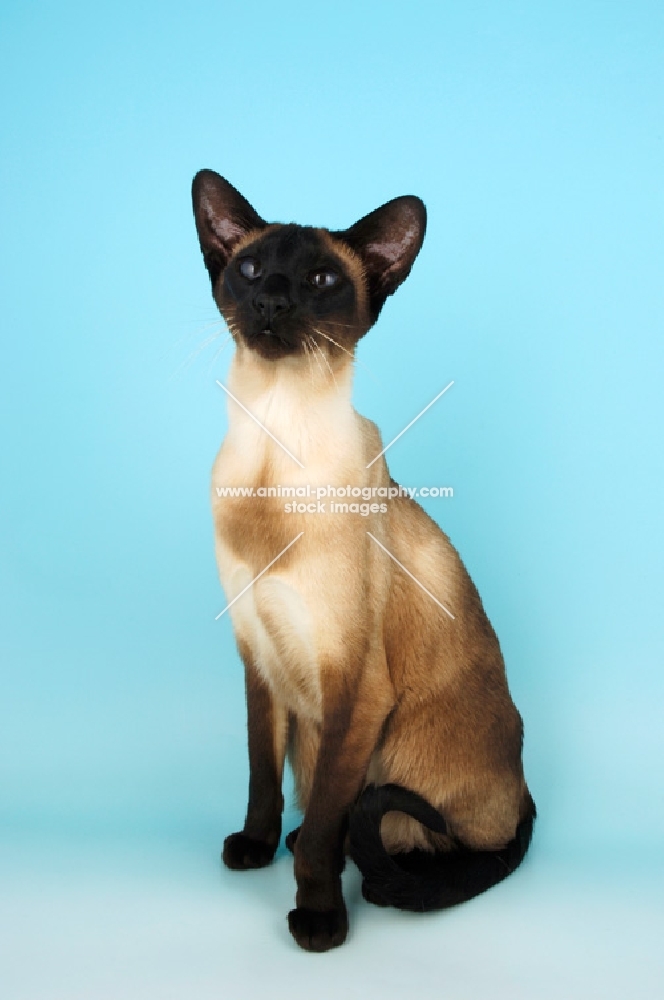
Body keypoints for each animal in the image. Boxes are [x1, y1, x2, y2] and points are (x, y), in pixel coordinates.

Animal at [191, 172, 536, 952]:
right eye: (251, 269)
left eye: (321, 280)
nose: (271, 302)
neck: (272, 445)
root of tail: (524, 782)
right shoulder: (259, 659)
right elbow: (263, 779)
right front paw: (255, 848)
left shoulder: (354, 684)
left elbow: (324, 824)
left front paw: (319, 920)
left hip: (398, 773)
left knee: (437, 838)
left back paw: (378, 877)